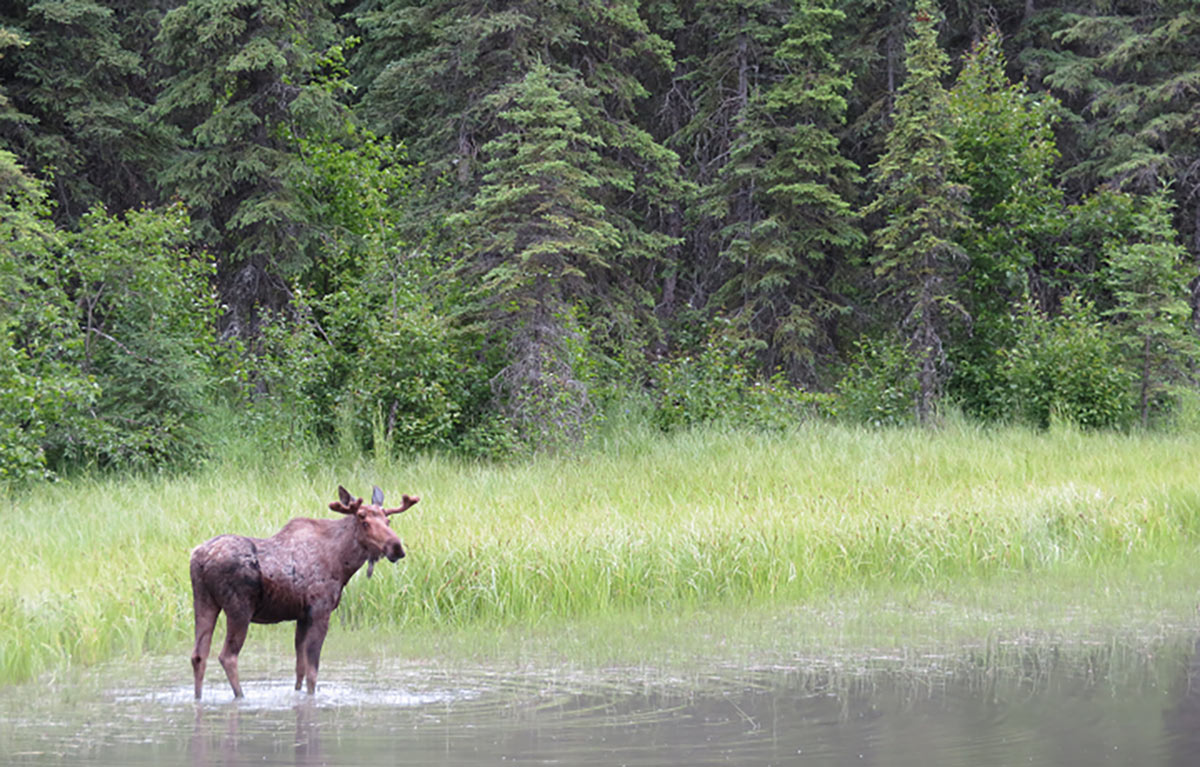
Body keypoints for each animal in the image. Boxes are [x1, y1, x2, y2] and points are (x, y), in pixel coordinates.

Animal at [189, 485, 419, 699]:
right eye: (364, 522)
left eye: (388, 521)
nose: (396, 547)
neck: (342, 563)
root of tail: (199, 560)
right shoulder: (320, 611)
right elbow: (312, 673)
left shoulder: (301, 616)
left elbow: (299, 669)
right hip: (239, 608)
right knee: (227, 656)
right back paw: (240, 696)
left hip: (204, 601)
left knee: (198, 655)